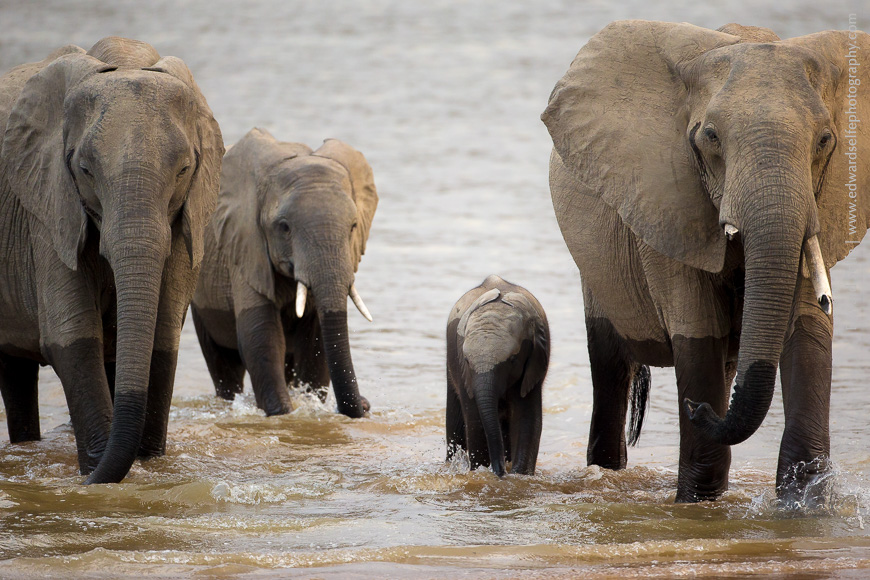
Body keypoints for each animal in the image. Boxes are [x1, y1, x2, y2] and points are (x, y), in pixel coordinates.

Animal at [0, 37, 223, 483]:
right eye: (85, 169)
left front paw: (149, 467)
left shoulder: (186, 217)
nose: (85, 481)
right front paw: (96, 473)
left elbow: (162, 337)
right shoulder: (48, 208)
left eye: (184, 169)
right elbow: (72, 337)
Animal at [190, 128, 378, 418]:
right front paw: (283, 413)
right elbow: (260, 333)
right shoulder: (245, 245)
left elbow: (316, 340)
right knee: (223, 365)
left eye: (354, 226)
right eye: (284, 227)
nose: (365, 404)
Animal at [445, 275, 550, 476]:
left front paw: (518, 474)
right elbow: (476, 420)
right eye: (467, 361)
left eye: (512, 359)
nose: (500, 471)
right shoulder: (465, 375)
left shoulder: (533, 367)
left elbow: (527, 419)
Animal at [542, 21, 869, 502]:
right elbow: (698, 337)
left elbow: (807, 330)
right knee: (609, 367)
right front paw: (695, 501)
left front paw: (803, 504)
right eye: (710, 137)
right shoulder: (668, 201)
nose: (694, 409)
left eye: (825, 141)